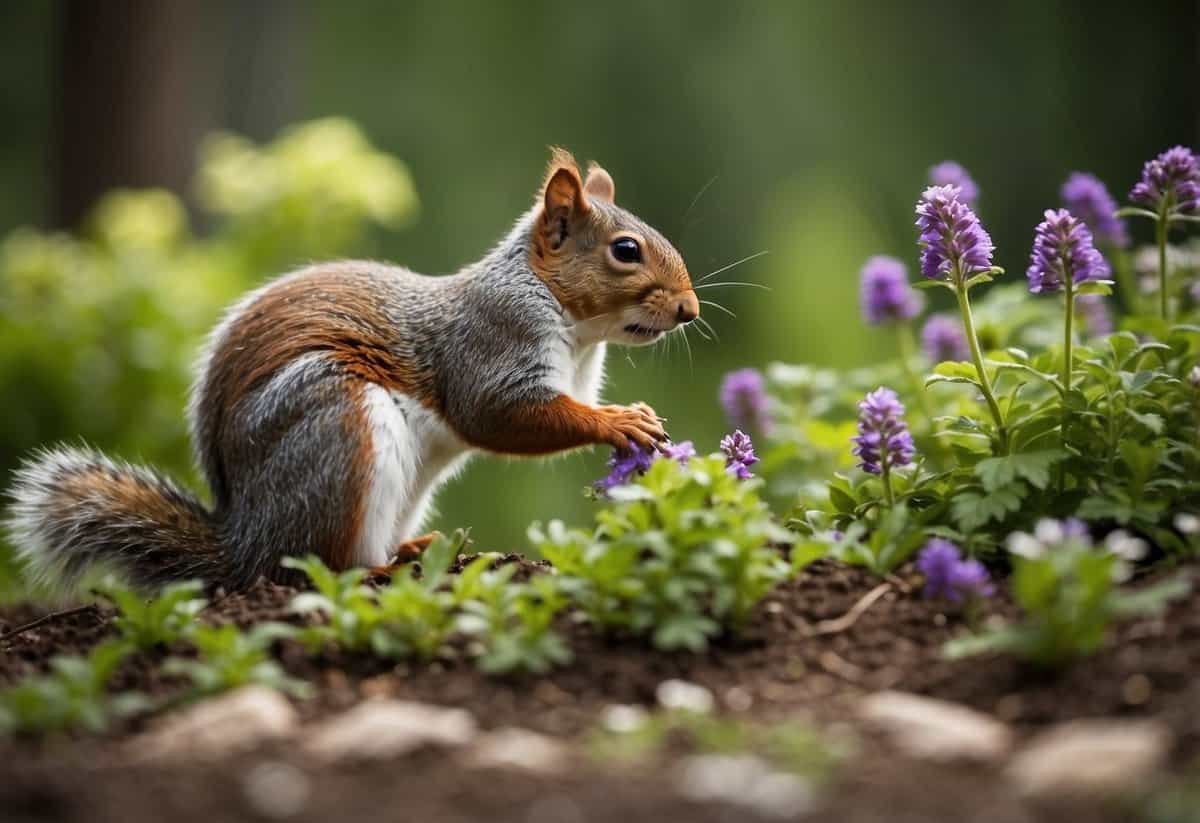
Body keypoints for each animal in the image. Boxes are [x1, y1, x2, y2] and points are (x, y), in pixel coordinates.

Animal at [4, 149, 700, 592]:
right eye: (626, 250)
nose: (690, 310)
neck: (575, 328)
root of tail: (245, 540)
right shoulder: (492, 344)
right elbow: (499, 415)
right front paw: (619, 421)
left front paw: (630, 414)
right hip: (338, 428)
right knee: (316, 566)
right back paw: (378, 569)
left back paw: (413, 549)